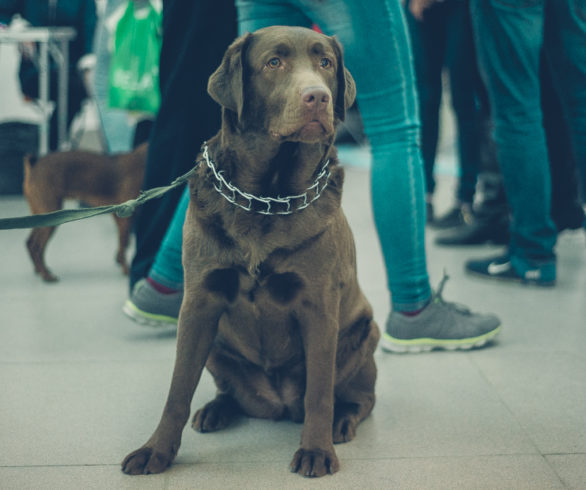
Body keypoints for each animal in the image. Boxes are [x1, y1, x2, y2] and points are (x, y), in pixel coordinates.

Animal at [23, 142, 147, 282]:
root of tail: (35, 164)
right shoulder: (126, 217)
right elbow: (124, 243)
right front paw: (126, 270)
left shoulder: (119, 216)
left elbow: (123, 244)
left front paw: (119, 261)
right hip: (50, 216)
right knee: (37, 246)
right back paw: (46, 275)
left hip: (42, 216)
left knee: (30, 243)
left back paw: (40, 270)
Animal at [123, 25, 378, 478]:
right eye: (273, 62)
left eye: (325, 62)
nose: (318, 97)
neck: (269, 197)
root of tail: (277, 405)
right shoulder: (198, 304)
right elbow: (177, 388)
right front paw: (156, 451)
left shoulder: (319, 307)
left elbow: (319, 392)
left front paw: (317, 450)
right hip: (217, 345)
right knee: (229, 392)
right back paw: (215, 411)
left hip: (365, 334)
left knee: (357, 398)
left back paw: (341, 422)